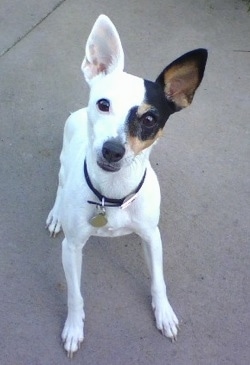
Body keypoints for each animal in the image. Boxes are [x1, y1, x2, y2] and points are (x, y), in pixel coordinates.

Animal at [46, 14, 208, 356]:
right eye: (103, 104)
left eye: (150, 119)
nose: (112, 150)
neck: (113, 194)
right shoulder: (72, 247)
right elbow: (75, 295)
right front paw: (73, 328)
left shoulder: (153, 237)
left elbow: (158, 281)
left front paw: (164, 313)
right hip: (65, 164)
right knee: (60, 185)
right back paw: (55, 214)